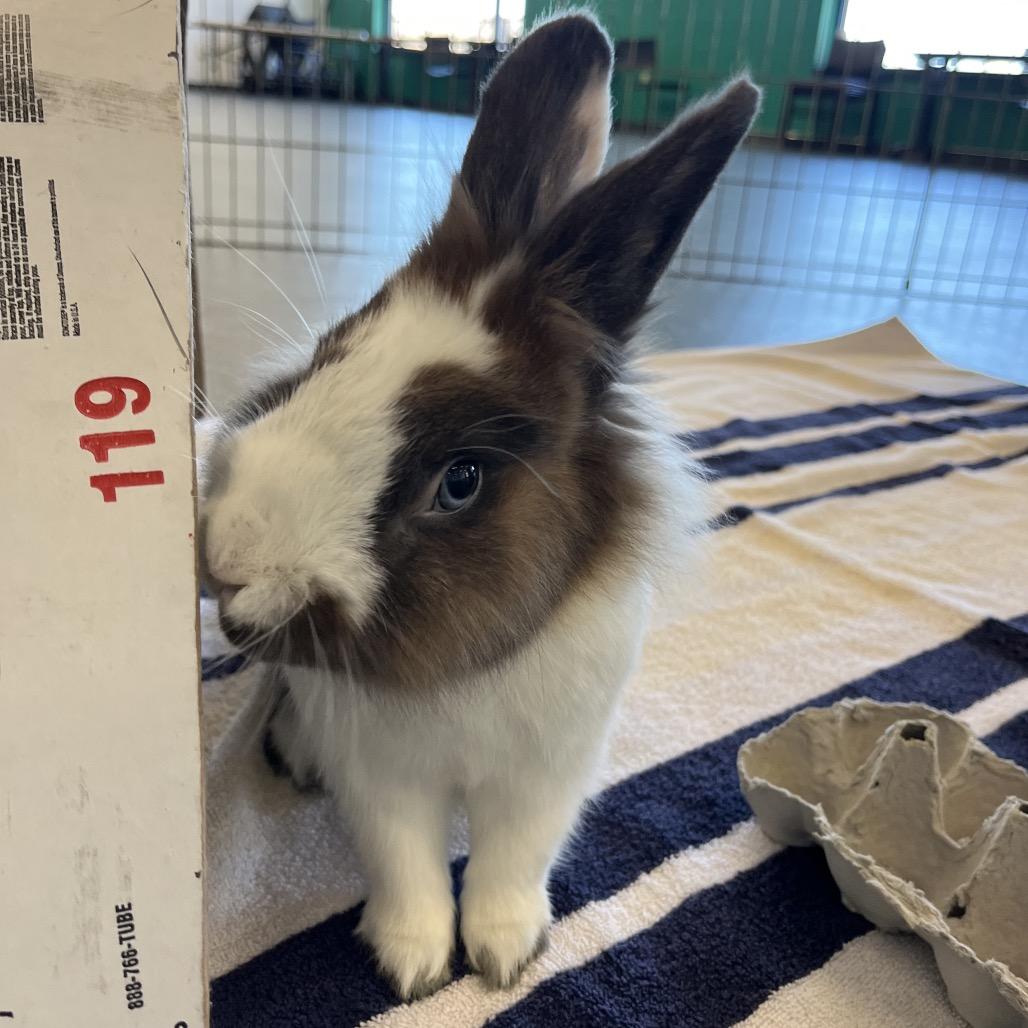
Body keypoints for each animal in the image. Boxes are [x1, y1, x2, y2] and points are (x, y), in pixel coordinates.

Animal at [199, 12, 758, 1001]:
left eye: (459, 481)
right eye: (330, 354)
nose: (227, 552)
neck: (457, 676)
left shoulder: (547, 775)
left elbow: (509, 861)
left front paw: (504, 954)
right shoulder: (381, 779)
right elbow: (407, 867)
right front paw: (415, 966)